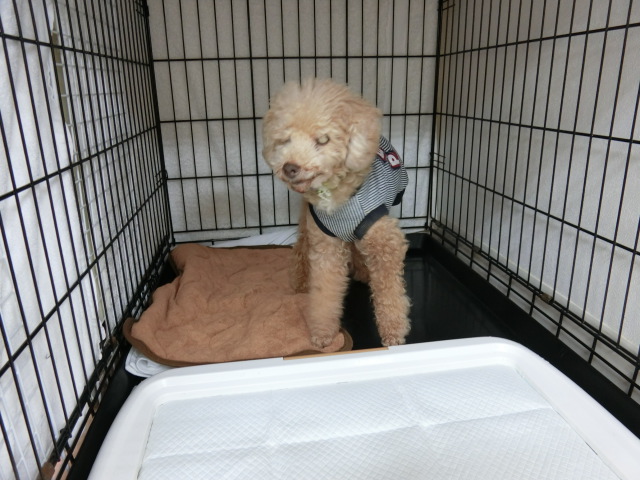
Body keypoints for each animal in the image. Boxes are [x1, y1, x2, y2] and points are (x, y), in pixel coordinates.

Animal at [262, 78, 410, 348]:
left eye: (323, 140)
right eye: (285, 140)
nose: (290, 168)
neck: (335, 195)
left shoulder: (385, 241)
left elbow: (390, 290)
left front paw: (394, 331)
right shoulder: (325, 244)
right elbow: (325, 291)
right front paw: (323, 334)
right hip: (307, 221)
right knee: (301, 248)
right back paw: (301, 282)